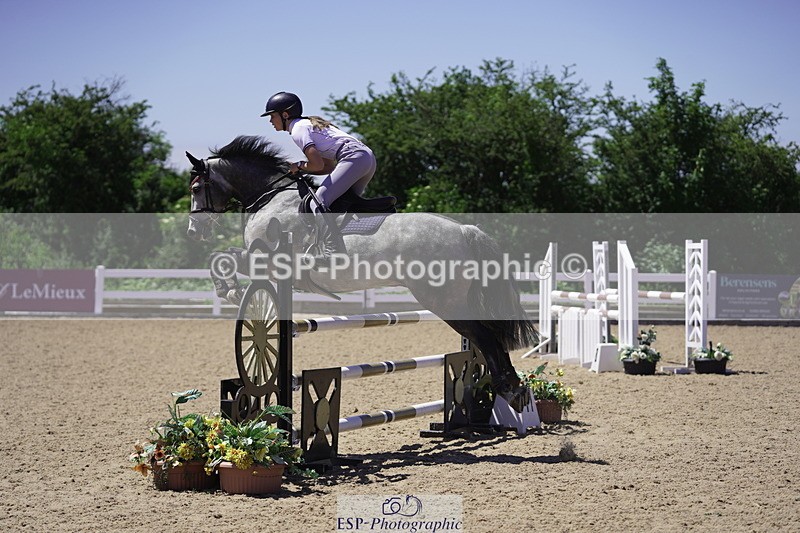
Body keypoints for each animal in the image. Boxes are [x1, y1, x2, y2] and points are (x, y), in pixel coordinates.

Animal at [186, 135, 538, 411]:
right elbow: (225, 259)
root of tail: (464, 230)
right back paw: (512, 390)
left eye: (196, 187)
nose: (193, 230)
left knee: (486, 336)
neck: (271, 197)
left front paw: (229, 290)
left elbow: (222, 258)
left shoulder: (269, 259)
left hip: (445, 302)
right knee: (488, 335)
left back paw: (508, 388)